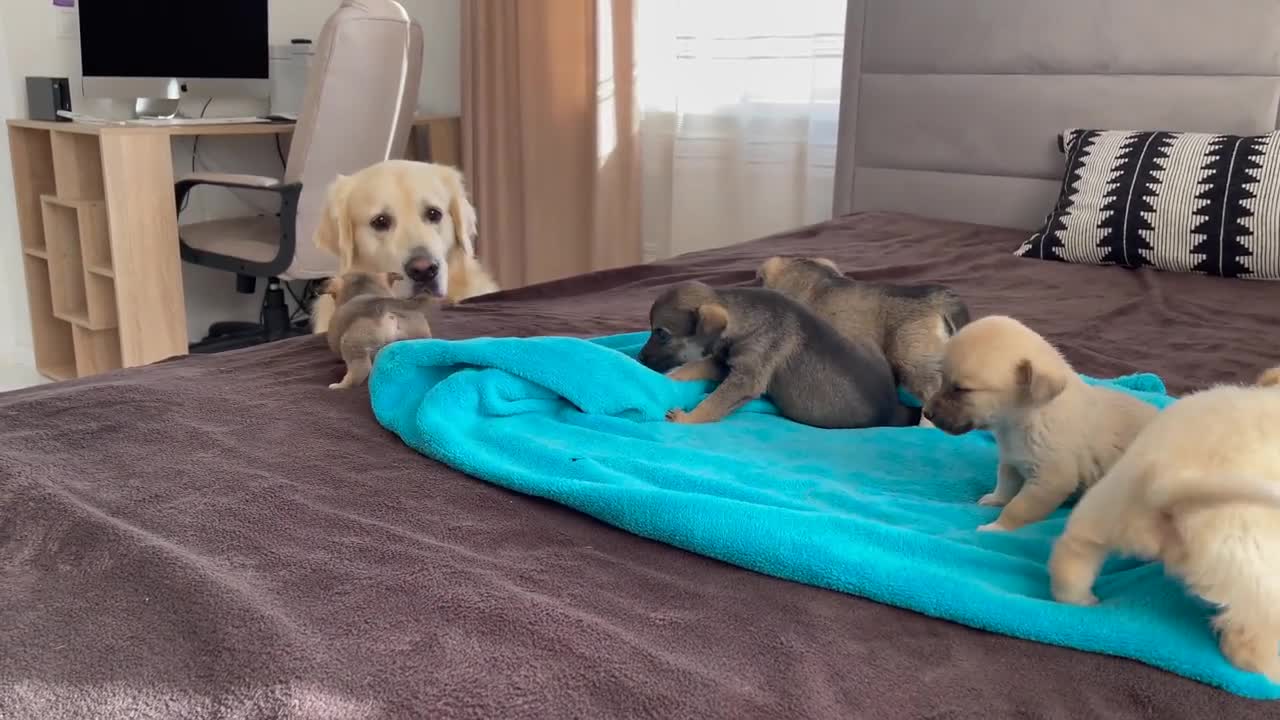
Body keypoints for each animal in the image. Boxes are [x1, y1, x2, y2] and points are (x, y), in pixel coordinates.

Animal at [634, 279, 916, 425]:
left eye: (661, 333)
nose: (639, 358)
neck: (742, 318)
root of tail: (894, 407)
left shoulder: (746, 379)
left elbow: (713, 403)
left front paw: (687, 418)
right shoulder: (724, 363)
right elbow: (694, 366)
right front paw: (672, 377)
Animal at [921, 316, 1162, 530]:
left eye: (962, 390)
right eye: (942, 379)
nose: (926, 413)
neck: (1024, 419)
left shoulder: (1049, 480)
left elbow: (1018, 508)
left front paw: (997, 527)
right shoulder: (1011, 461)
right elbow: (1005, 486)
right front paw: (995, 499)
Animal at [1044, 366, 1280, 676]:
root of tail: (1167, 478)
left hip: (1107, 503)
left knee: (1074, 554)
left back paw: (1078, 599)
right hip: (1254, 566)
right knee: (1248, 644)